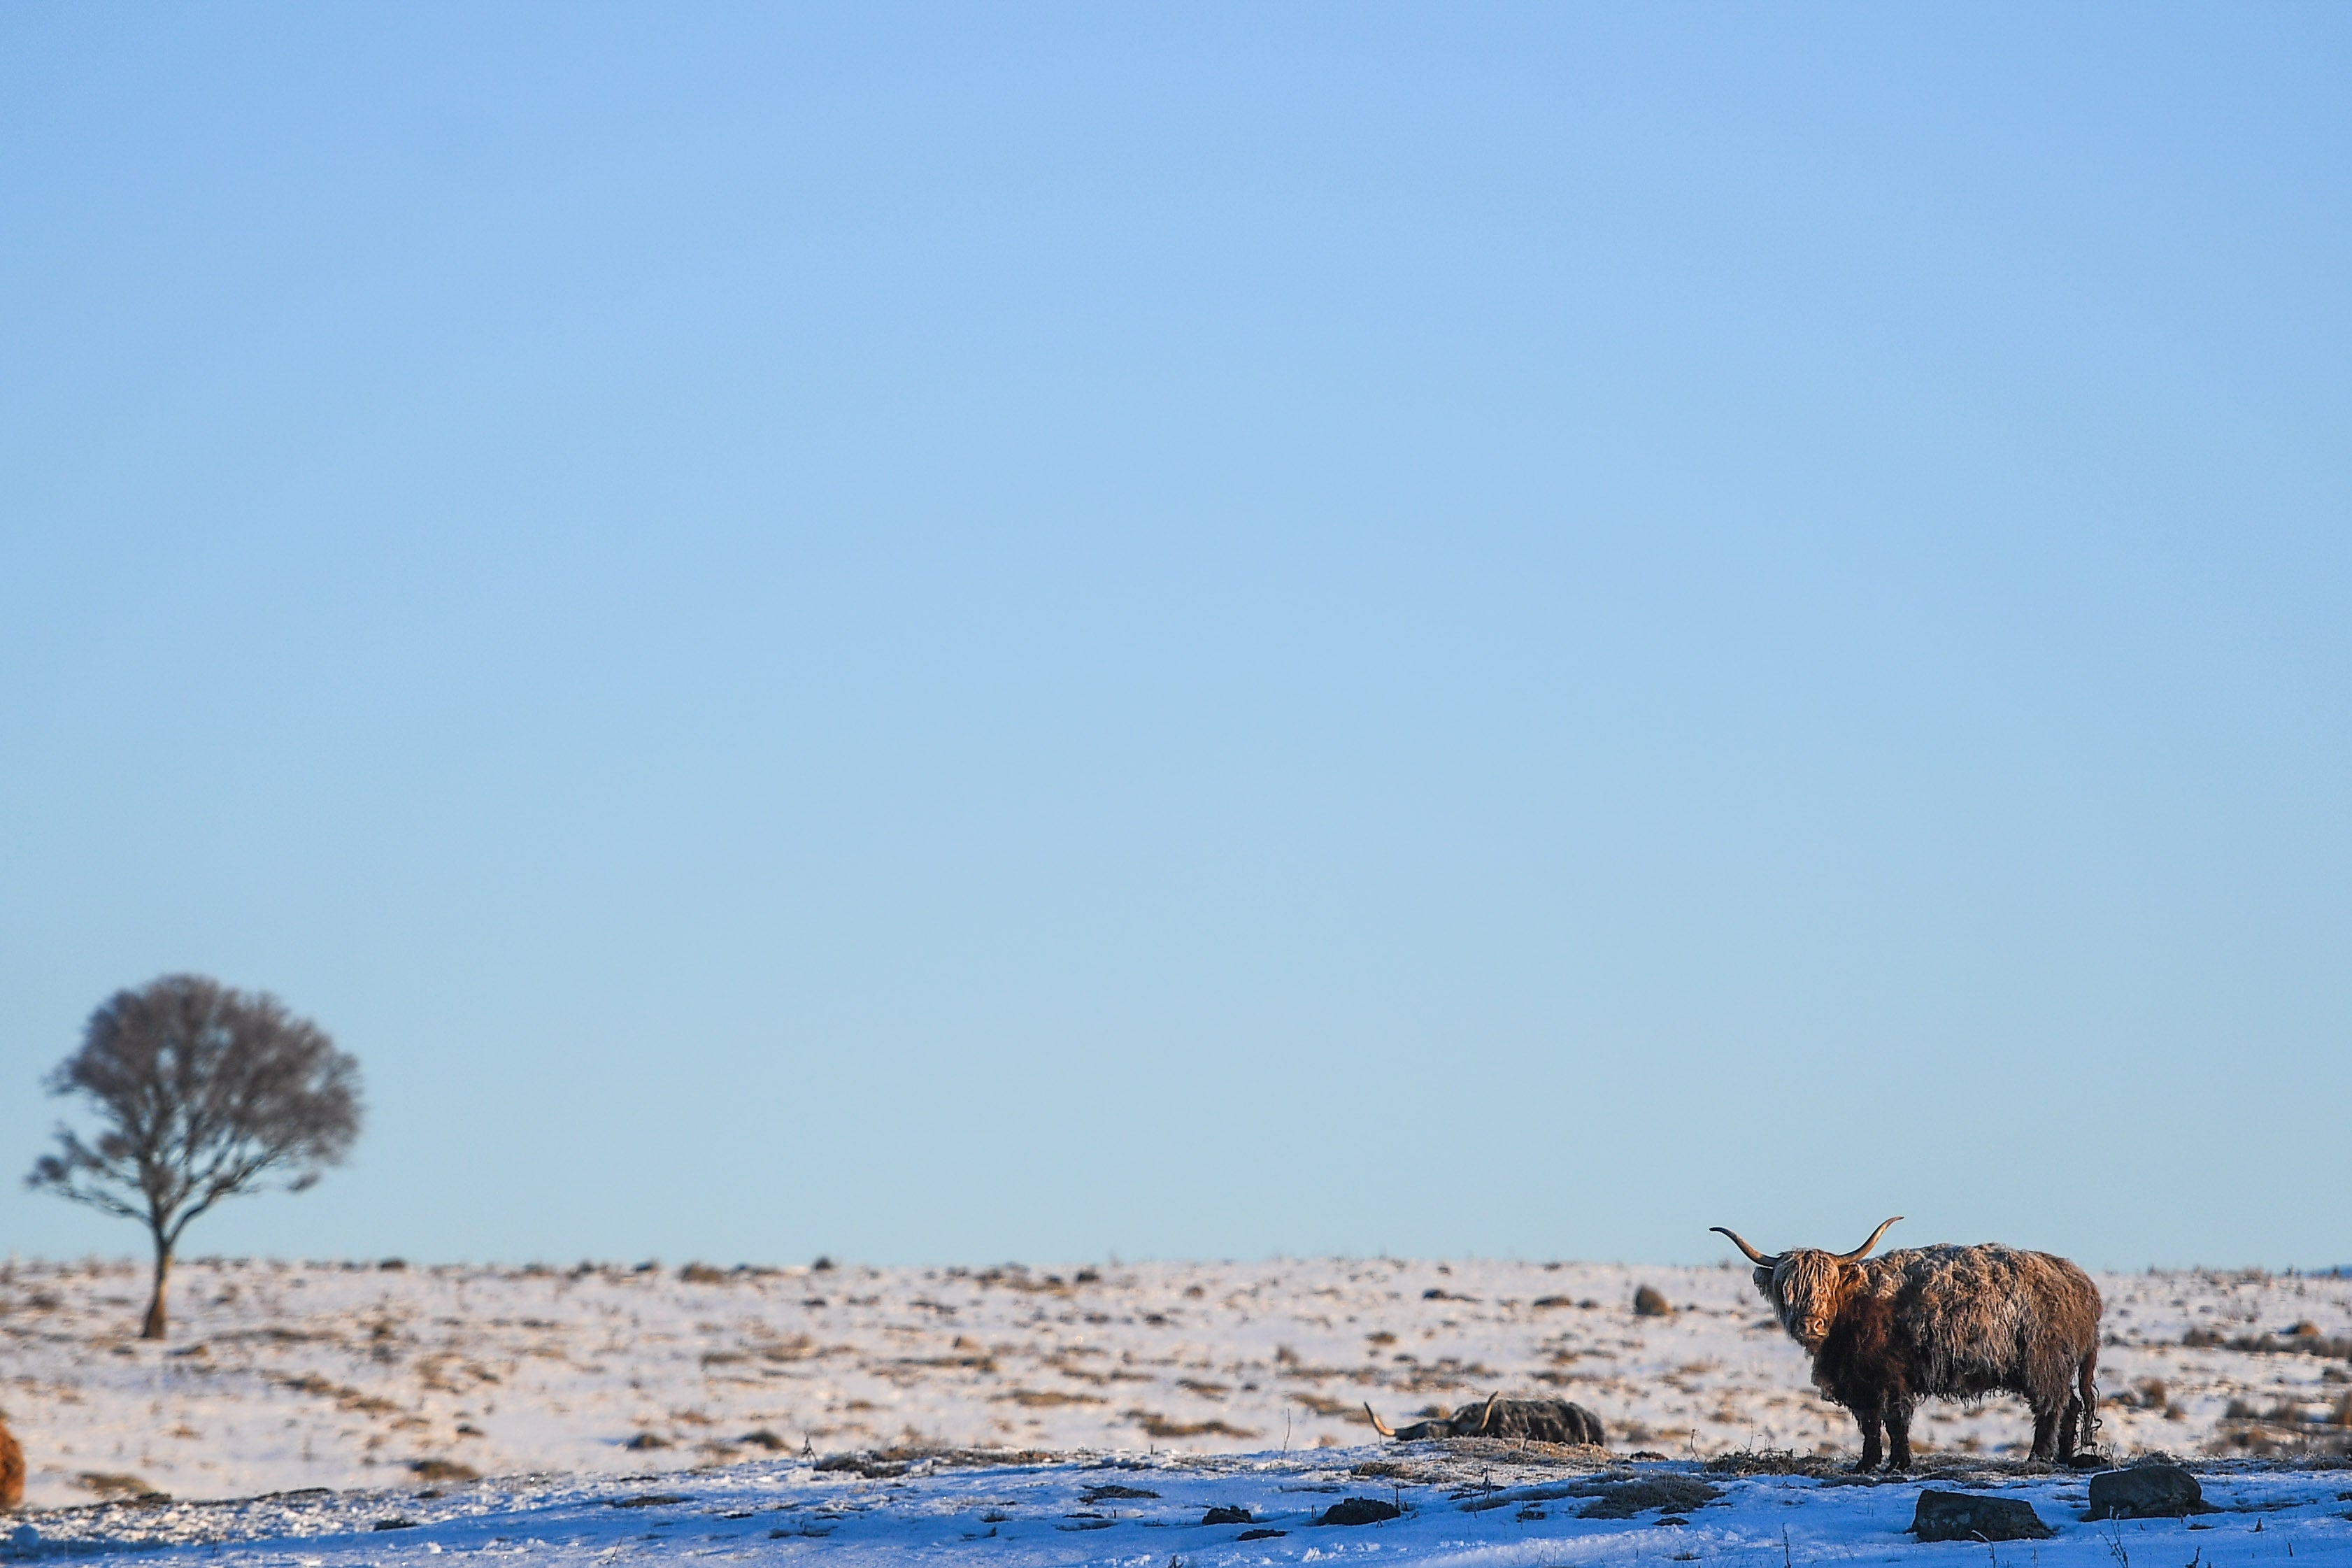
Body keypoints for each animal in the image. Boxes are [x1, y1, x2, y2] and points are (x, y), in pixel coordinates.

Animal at [1712, 1213, 2116, 1476]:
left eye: (1826, 1286)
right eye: (1787, 1289)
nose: (1810, 1323)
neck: (1852, 1311)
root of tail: (2080, 1282)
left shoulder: (1892, 1378)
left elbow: (1894, 1420)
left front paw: (1899, 1462)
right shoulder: (1861, 1383)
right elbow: (1870, 1423)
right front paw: (1866, 1464)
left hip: (2043, 1363)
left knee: (2051, 1406)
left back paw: (2038, 1457)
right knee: (2071, 1405)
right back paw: (2064, 1457)